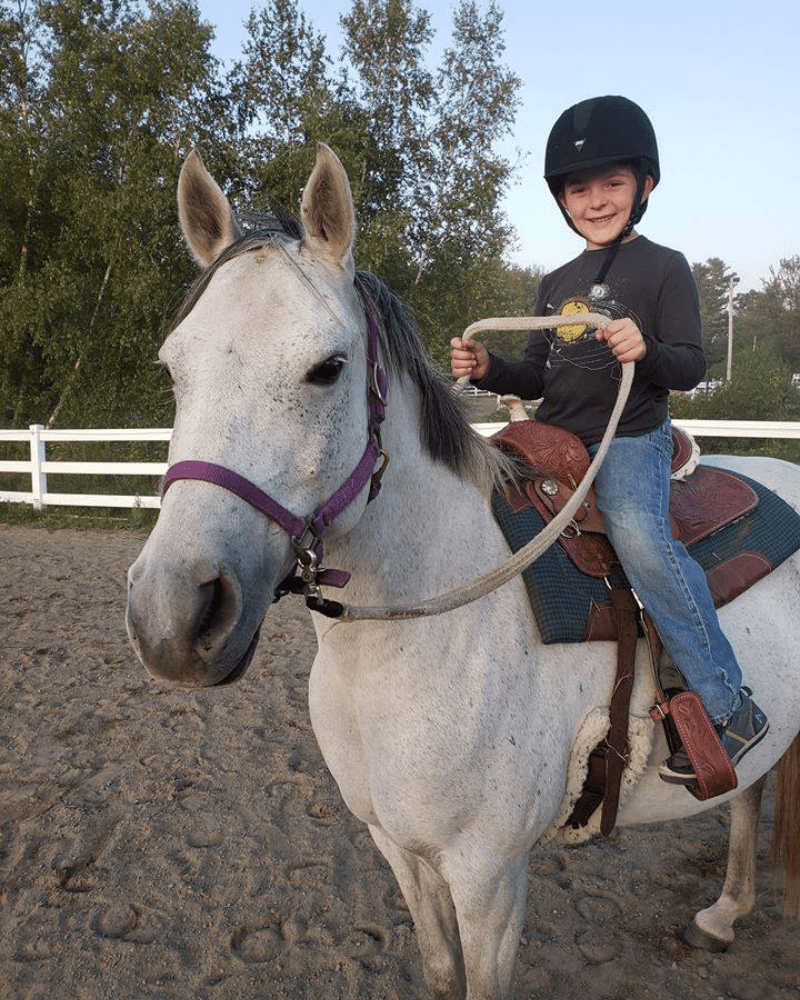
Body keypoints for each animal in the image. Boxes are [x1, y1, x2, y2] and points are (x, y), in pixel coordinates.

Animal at [126, 143, 800, 1000]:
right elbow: (440, 972)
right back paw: (722, 914)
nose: (173, 616)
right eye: (171, 370)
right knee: (750, 793)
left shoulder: (489, 879)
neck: (428, 635)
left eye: (328, 367)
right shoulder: (398, 850)